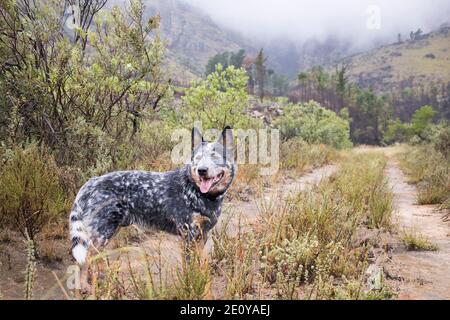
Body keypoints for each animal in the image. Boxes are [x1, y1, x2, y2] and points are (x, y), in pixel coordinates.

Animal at [69, 126, 236, 266]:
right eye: (198, 158)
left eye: (215, 156)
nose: (202, 170)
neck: (199, 194)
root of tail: (91, 182)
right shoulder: (188, 235)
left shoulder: (203, 236)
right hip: (101, 235)